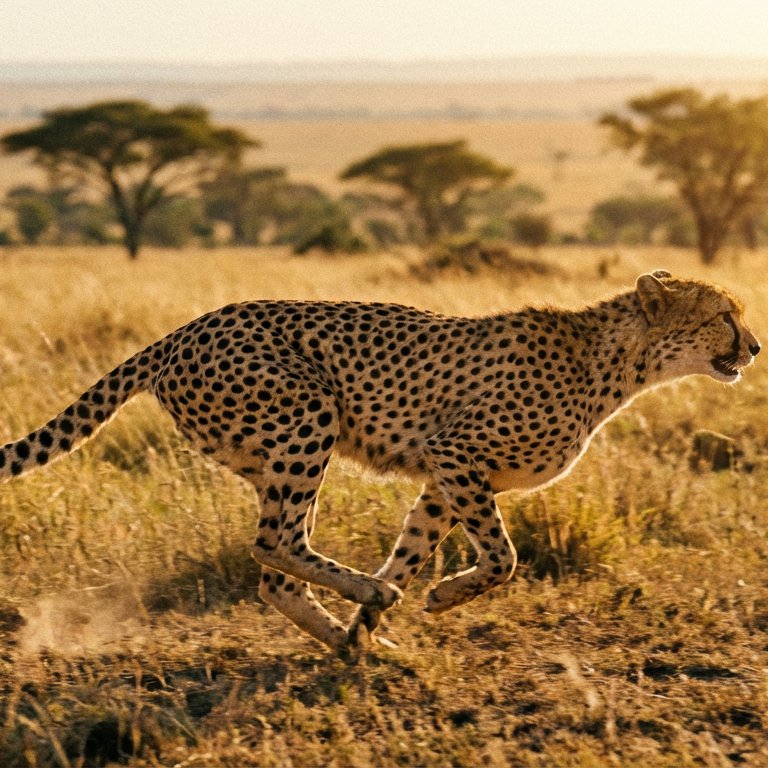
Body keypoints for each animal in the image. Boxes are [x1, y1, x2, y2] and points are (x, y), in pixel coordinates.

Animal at [0, 270, 760, 654]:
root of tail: (184, 329)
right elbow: (503, 558)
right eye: (723, 316)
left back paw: (349, 633)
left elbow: (416, 549)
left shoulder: (445, 478)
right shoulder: (456, 454)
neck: (616, 363)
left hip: (275, 455)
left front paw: (372, 627)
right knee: (273, 543)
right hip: (308, 416)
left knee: (274, 569)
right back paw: (360, 595)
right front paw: (432, 597)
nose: (753, 348)